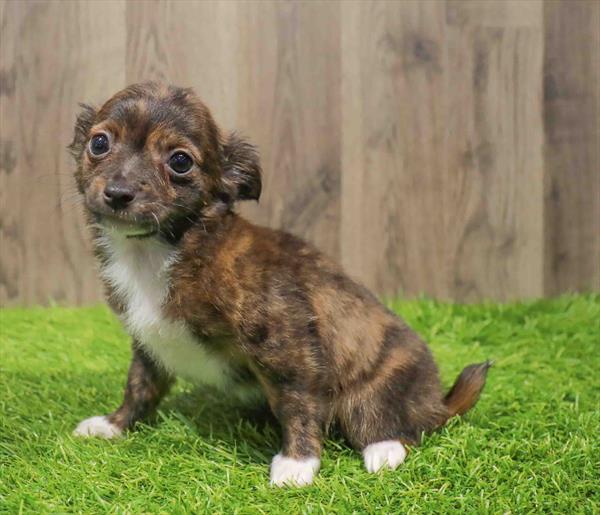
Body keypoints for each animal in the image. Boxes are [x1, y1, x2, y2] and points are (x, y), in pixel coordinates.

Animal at [71, 81, 492, 488]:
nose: (118, 194)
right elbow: (140, 386)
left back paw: (383, 451)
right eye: (99, 143)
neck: (161, 249)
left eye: (180, 161)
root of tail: (438, 401)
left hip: (372, 394)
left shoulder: (285, 343)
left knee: (390, 424)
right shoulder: (149, 343)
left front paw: (297, 463)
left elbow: (296, 404)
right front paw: (114, 424)